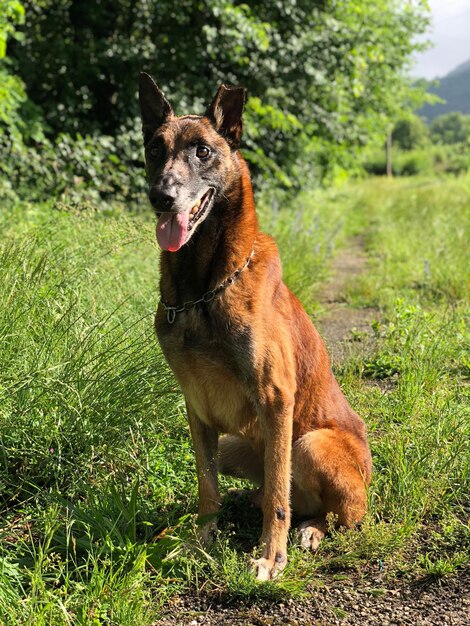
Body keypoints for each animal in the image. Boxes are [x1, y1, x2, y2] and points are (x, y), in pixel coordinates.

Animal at [138, 74, 372, 580]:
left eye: (202, 151)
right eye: (154, 148)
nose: (161, 196)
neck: (203, 289)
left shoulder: (276, 397)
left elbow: (279, 498)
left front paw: (271, 556)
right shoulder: (198, 408)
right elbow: (207, 488)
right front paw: (199, 539)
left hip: (311, 443)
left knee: (329, 511)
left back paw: (310, 530)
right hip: (234, 445)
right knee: (265, 489)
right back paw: (248, 500)